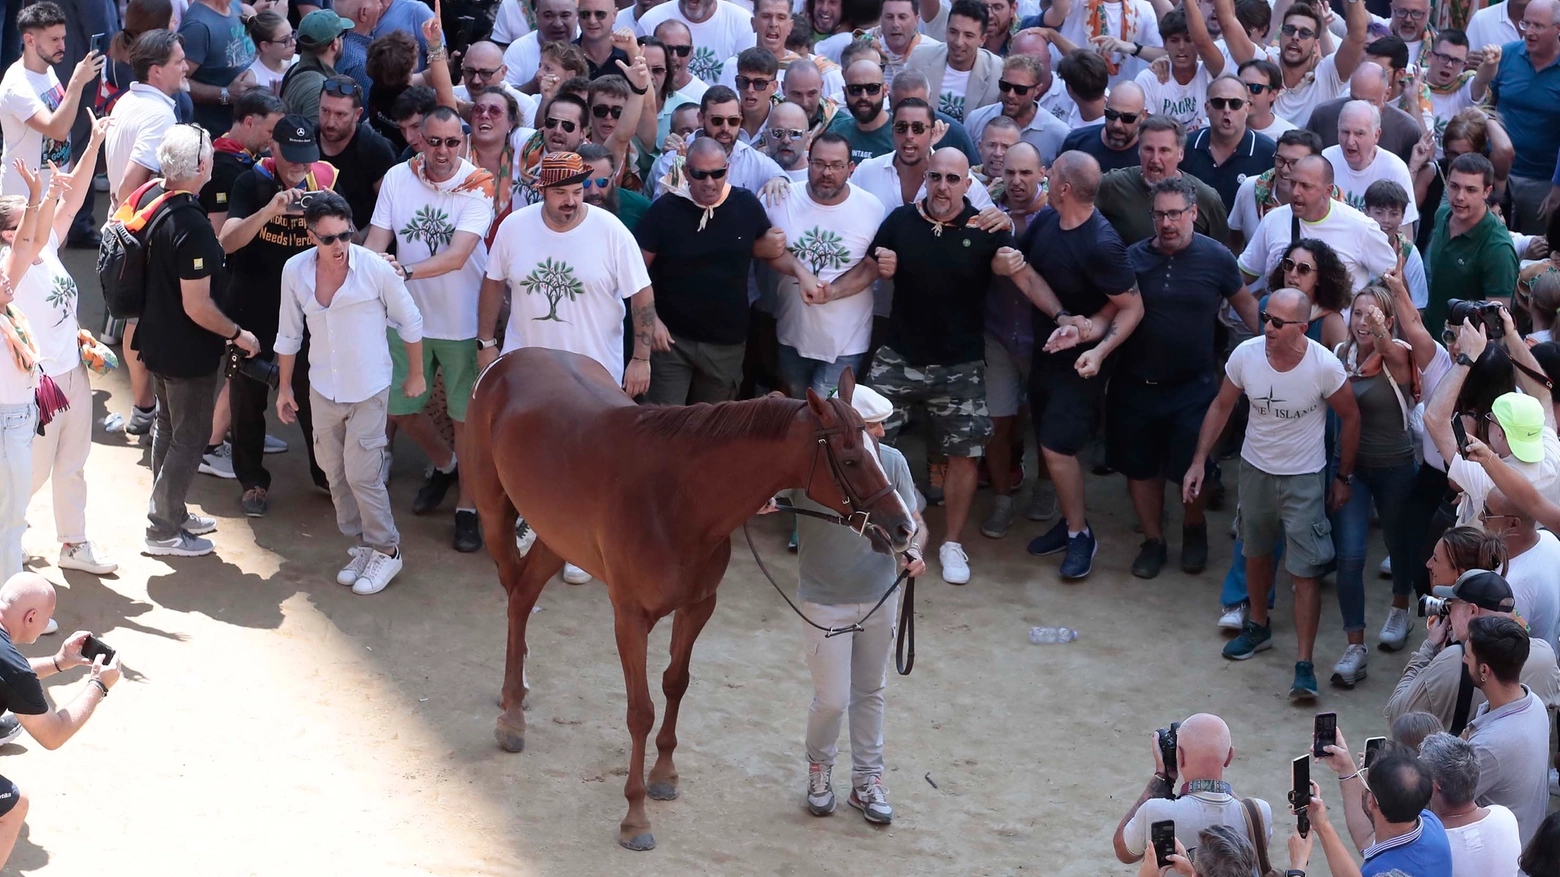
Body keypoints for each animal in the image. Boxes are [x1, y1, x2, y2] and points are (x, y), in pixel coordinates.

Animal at [458, 346, 911, 848]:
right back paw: (511, 715)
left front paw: (664, 776)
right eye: (850, 459)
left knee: (522, 596)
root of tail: (506, 362)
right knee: (514, 598)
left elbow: (676, 683)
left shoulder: (698, 606)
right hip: (495, 515)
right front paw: (635, 817)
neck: (678, 498)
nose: (903, 528)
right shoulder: (630, 618)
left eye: (878, 451)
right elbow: (640, 712)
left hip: (556, 536)